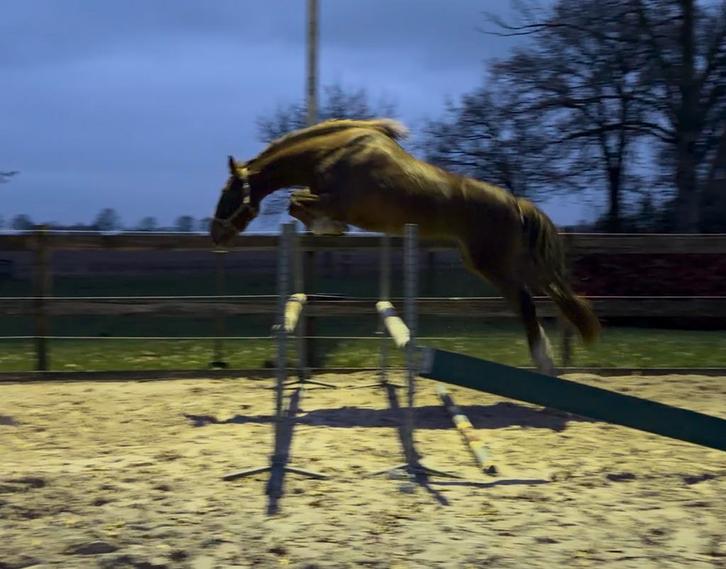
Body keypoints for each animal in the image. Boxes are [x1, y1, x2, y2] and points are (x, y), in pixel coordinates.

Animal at [211, 118, 600, 375]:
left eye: (227, 192)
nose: (216, 234)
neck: (332, 153)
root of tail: (516, 205)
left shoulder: (336, 201)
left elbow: (296, 202)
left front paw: (330, 227)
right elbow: (297, 202)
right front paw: (328, 229)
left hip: (493, 264)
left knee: (528, 303)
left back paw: (544, 361)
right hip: (499, 262)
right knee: (544, 296)